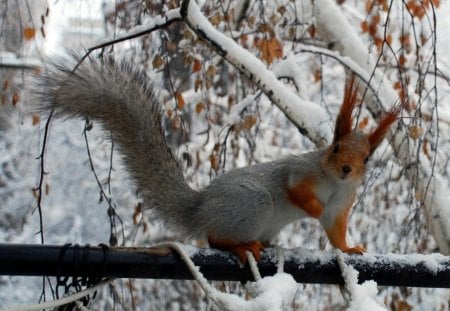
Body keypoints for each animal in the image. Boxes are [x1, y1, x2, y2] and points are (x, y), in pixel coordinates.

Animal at [33, 54, 400, 264]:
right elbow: (294, 188)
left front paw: (349, 249)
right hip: (252, 203)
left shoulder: (342, 202)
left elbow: (335, 229)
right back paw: (240, 246)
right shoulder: (300, 171)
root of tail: (201, 208)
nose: (347, 169)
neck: (332, 181)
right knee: (214, 239)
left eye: (368, 158)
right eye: (335, 147)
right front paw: (312, 207)